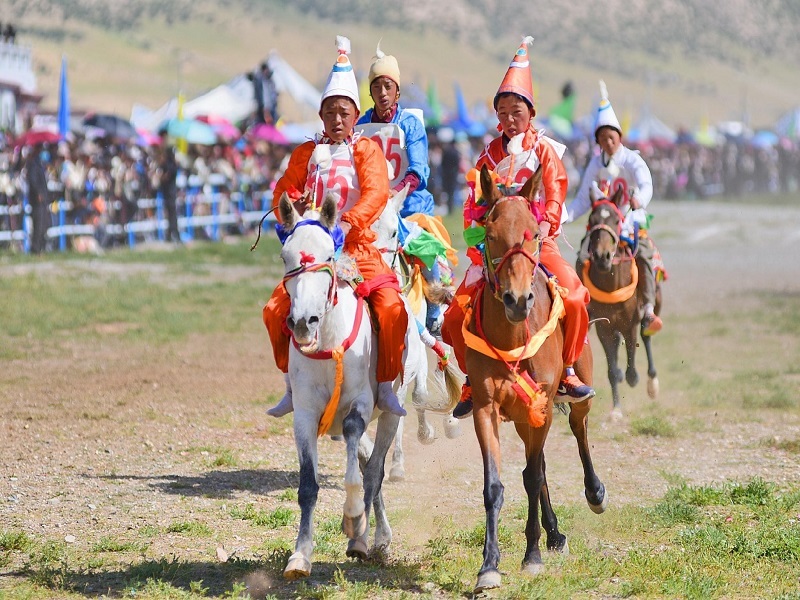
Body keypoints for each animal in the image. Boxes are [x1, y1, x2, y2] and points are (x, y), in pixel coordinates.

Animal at [276, 191, 400, 576]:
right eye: (286, 257)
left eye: (328, 255)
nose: (304, 321)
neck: (328, 345)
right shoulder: (304, 415)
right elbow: (307, 485)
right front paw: (300, 555)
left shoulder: (358, 405)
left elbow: (356, 469)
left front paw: (353, 519)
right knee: (368, 463)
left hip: (391, 413)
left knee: (374, 472)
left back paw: (370, 539)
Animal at [462, 166, 608, 592]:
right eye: (491, 234)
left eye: (535, 234)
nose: (517, 300)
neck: (513, 337)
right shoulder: (487, 409)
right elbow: (496, 485)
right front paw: (489, 566)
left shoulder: (540, 405)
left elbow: (530, 476)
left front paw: (532, 555)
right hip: (523, 417)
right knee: (539, 464)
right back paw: (554, 532)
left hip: (574, 398)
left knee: (579, 433)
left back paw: (594, 494)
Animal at [580, 184, 664, 418]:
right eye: (592, 219)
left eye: (616, 220)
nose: (602, 257)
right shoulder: (604, 327)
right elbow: (611, 369)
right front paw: (616, 409)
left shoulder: (629, 324)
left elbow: (631, 368)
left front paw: (633, 378)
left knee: (646, 334)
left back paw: (652, 383)